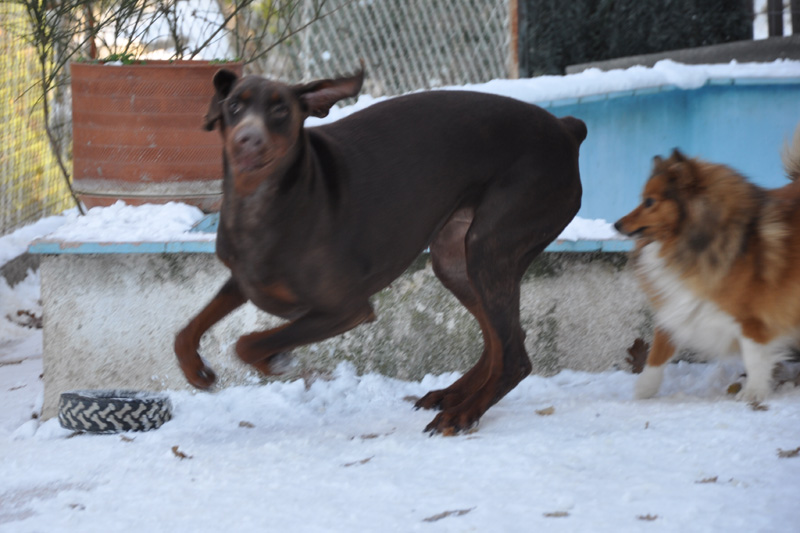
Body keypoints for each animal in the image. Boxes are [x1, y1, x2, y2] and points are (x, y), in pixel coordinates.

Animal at [175, 66, 584, 432]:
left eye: (280, 110)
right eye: (234, 105)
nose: (248, 139)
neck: (260, 204)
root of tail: (565, 129)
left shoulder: (346, 309)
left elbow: (248, 343)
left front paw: (276, 362)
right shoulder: (243, 280)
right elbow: (187, 331)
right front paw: (196, 371)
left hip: (489, 247)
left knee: (514, 357)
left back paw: (463, 414)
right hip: (455, 259)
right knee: (503, 341)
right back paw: (453, 395)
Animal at [620, 130, 800, 404]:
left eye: (650, 201)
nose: (616, 225)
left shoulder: (752, 318)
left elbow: (754, 357)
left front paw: (753, 392)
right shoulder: (679, 302)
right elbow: (658, 349)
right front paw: (645, 389)